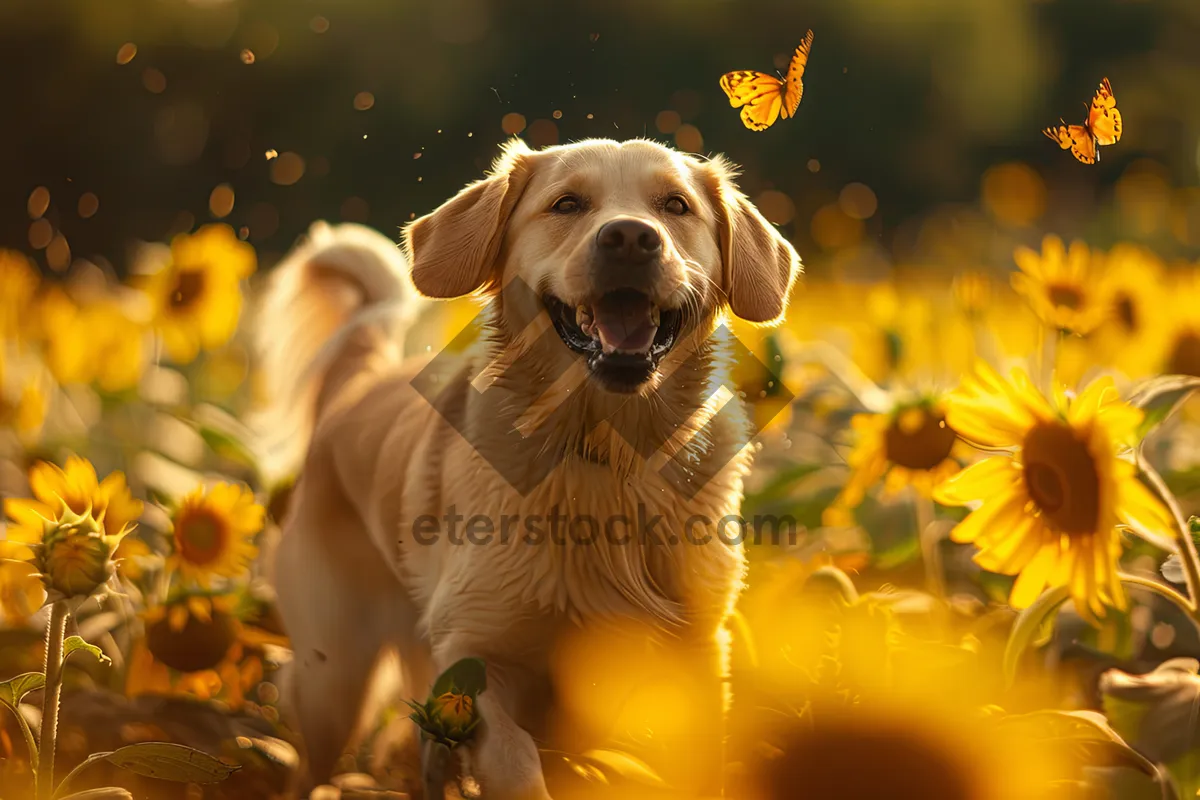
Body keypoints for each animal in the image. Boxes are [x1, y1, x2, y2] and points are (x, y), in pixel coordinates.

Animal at [253, 139, 796, 800]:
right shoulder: (472, 656)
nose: (631, 238)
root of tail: (357, 383)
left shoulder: (694, 657)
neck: (604, 454)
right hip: (333, 678)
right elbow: (514, 758)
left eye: (675, 205)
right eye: (566, 204)